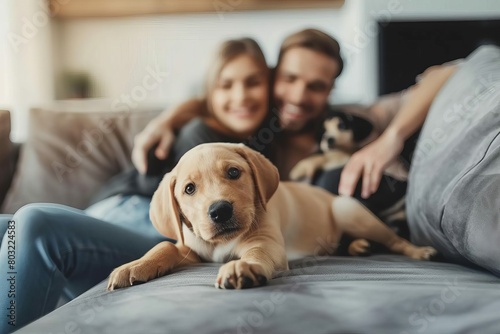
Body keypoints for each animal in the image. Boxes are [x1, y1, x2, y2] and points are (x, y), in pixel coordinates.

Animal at [107, 142, 436, 290]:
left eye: (234, 173)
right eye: (189, 189)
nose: (220, 210)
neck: (220, 244)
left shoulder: (266, 242)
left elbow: (256, 253)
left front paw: (243, 267)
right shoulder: (190, 247)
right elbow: (163, 245)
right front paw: (134, 266)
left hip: (349, 209)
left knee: (394, 240)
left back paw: (419, 251)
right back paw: (357, 246)